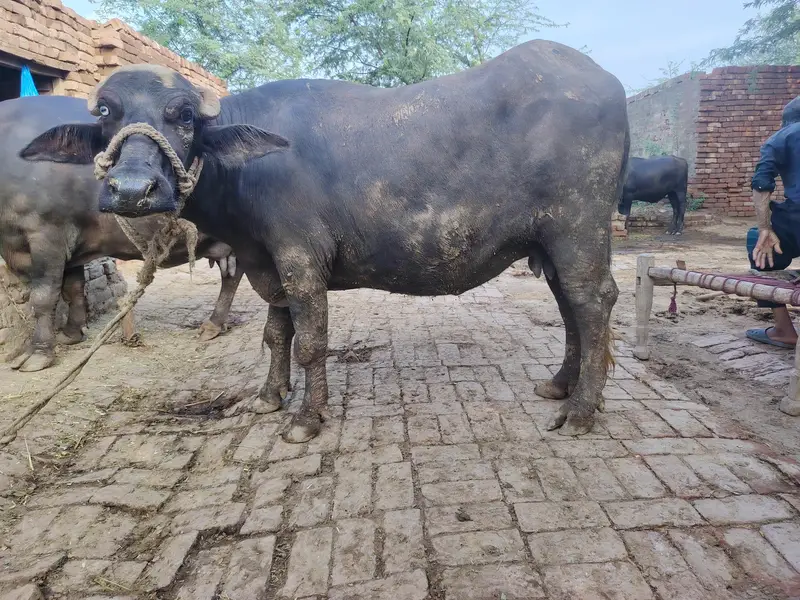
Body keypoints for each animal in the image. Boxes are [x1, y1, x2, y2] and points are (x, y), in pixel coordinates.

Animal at [0, 95, 243, 372]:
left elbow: (43, 296)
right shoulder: (71, 245)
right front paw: (72, 333)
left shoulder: (46, 233)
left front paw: (38, 354)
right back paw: (213, 325)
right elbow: (73, 288)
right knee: (232, 276)